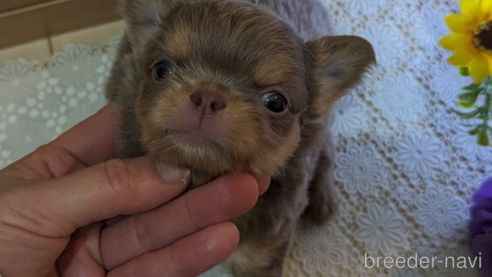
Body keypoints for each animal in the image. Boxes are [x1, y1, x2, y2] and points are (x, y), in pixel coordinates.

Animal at [105, 1, 374, 274]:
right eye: (162, 69)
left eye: (276, 102)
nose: (208, 97)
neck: (202, 177)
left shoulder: (262, 250)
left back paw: (323, 200)